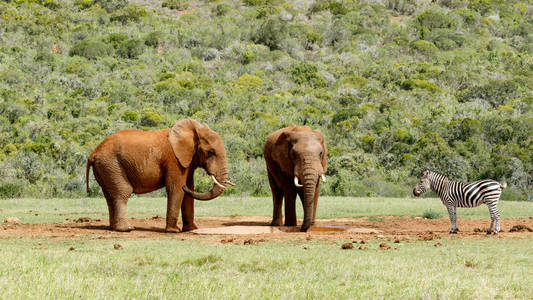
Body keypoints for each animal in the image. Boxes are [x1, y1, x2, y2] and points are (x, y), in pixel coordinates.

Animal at [85, 119, 233, 232]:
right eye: (210, 152)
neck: (194, 130)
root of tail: (93, 153)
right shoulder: (174, 160)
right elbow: (176, 188)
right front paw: (174, 231)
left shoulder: (187, 161)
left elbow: (188, 190)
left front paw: (191, 229)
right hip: (112, 165)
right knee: (123, 192)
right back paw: (127, 229)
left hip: (106, 168)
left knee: (109, 196)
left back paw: (114, 228)